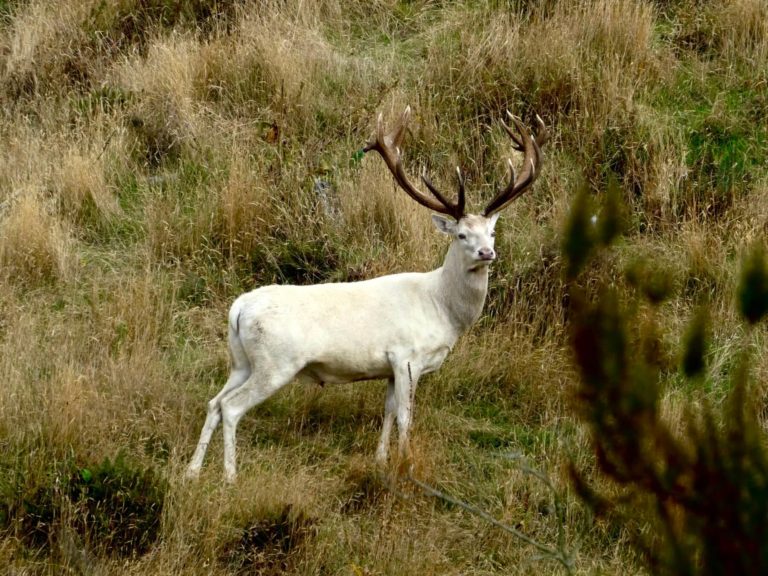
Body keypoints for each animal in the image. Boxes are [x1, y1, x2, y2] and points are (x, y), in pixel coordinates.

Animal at [186, 106, 547, 482]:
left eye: (491, 232)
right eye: (461, 234)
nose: (486, 253)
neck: (442, 310)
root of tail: (238, 308)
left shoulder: (389, 367)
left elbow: (387, 411)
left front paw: (381, 459)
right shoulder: (407, 356)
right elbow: (405, 416)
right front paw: (407, 464)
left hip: (241, 361)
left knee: (214, 402)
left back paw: (192, 471)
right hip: (276, 362)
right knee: (231, 406)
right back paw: (229, 475)